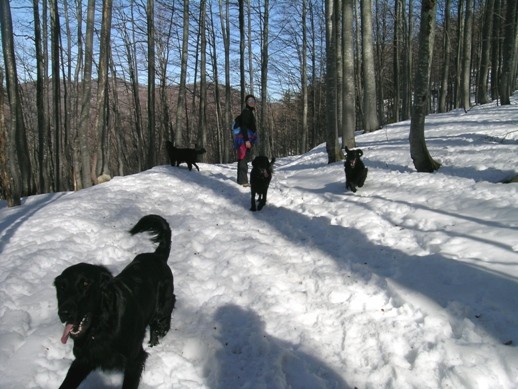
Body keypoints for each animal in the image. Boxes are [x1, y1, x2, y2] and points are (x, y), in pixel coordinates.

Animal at [54, 214, 177, 386]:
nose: (64, 313)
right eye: (62, 287)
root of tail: (156, 256)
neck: (101, 327)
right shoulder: (84, 359)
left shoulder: (134, 360)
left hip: (162, 308)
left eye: (85, 284)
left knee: (160, 323)